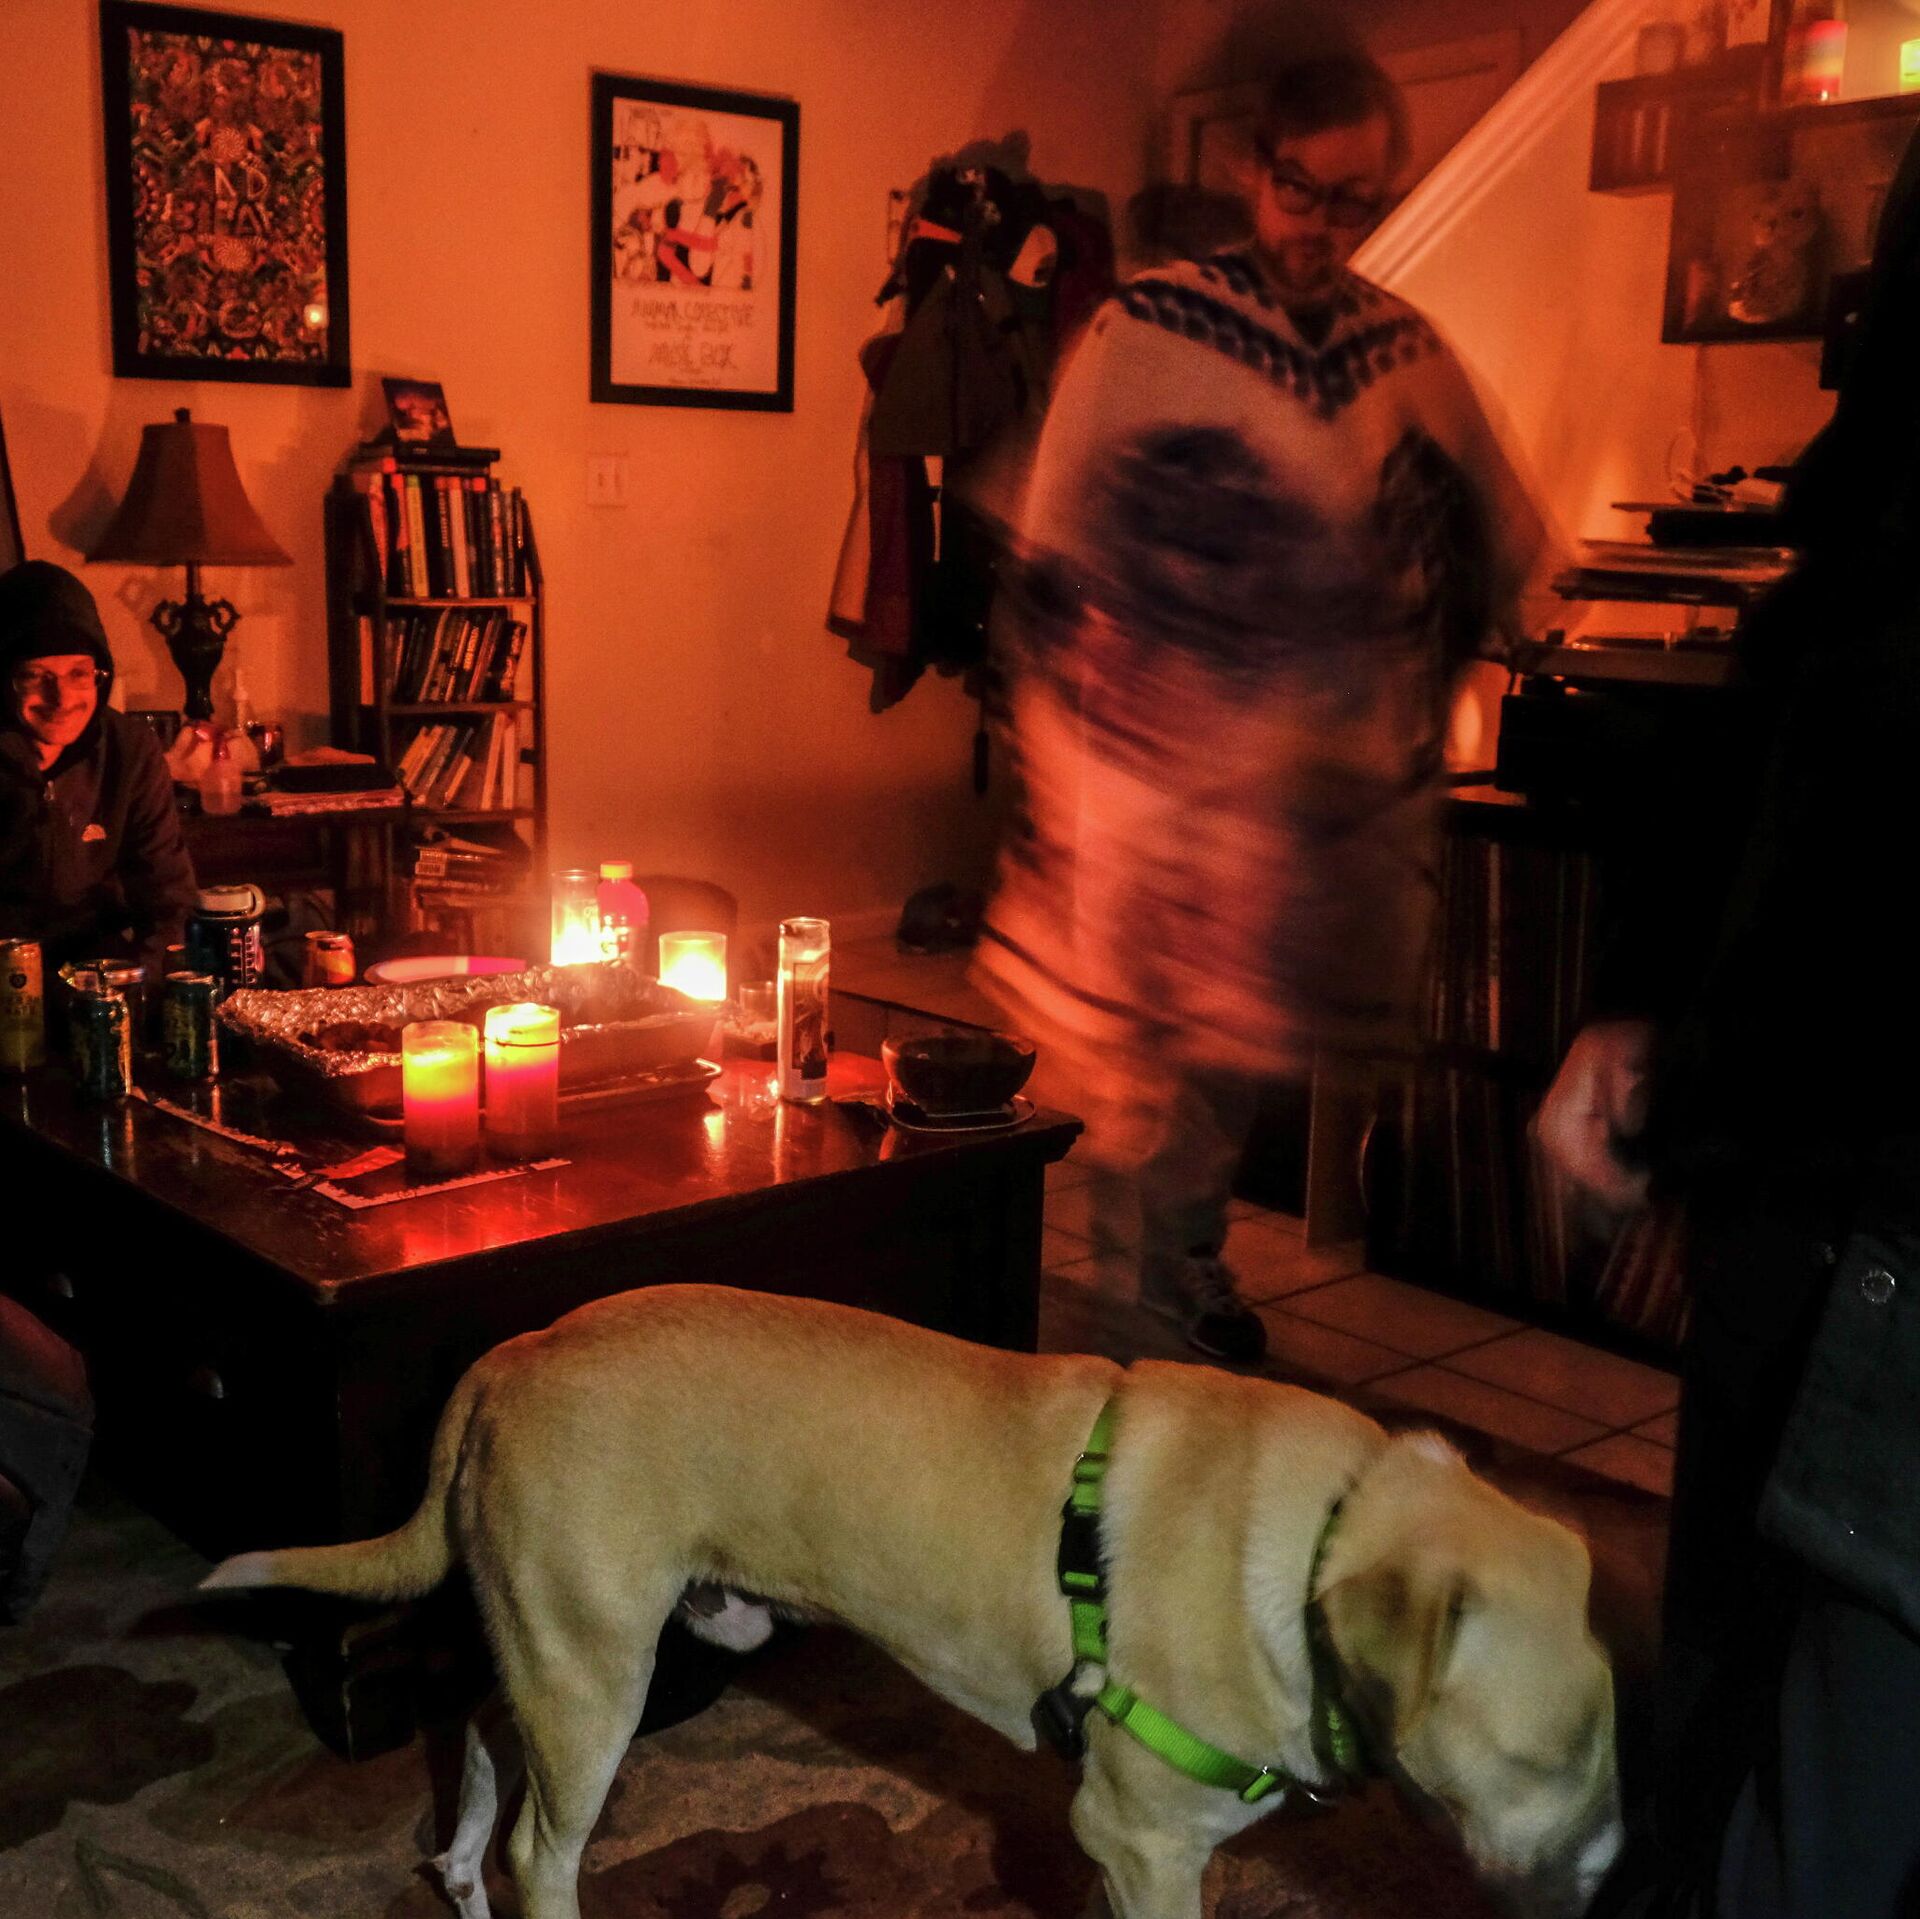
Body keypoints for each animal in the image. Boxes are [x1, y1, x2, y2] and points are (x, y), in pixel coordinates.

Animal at [203, 1284, 1621, 1919]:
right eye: (1532, 1758)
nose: (1610, 1876)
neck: (1325, 1536)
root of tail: (508, 1354)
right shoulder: (1143, 1840)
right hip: (601, 1686)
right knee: (542, 1851)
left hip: (568, 1658)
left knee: (485, 1759)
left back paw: (456, 1866)